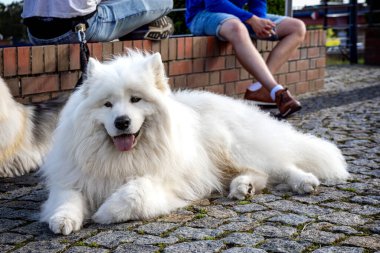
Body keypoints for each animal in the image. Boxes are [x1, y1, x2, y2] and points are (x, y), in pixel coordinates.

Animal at [40, 50, 348, 235]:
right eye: (107, 104)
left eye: (136, 99)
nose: (122, 122)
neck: (122, 156)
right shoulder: (74, 178)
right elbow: (66, 199)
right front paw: (63, 220)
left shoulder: (165, 180)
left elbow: (132, 193)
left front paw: (104, 212)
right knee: (259, 173)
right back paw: (242, 187)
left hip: (232, 146)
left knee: (281, 165)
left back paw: (303, 181)